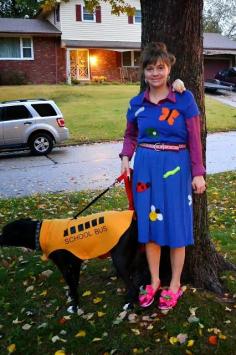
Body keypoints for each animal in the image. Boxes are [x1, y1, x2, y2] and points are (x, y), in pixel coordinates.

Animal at [0, 211, 142, 314]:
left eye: (4, 231)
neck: (39, 233)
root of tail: (133, 222)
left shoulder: (64, 268)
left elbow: (72, 287)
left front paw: (74, 307)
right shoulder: (75, 264)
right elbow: (75, 283)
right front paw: (75, 301)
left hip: (119, 261)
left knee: (133, 287)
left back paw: (129, 305)